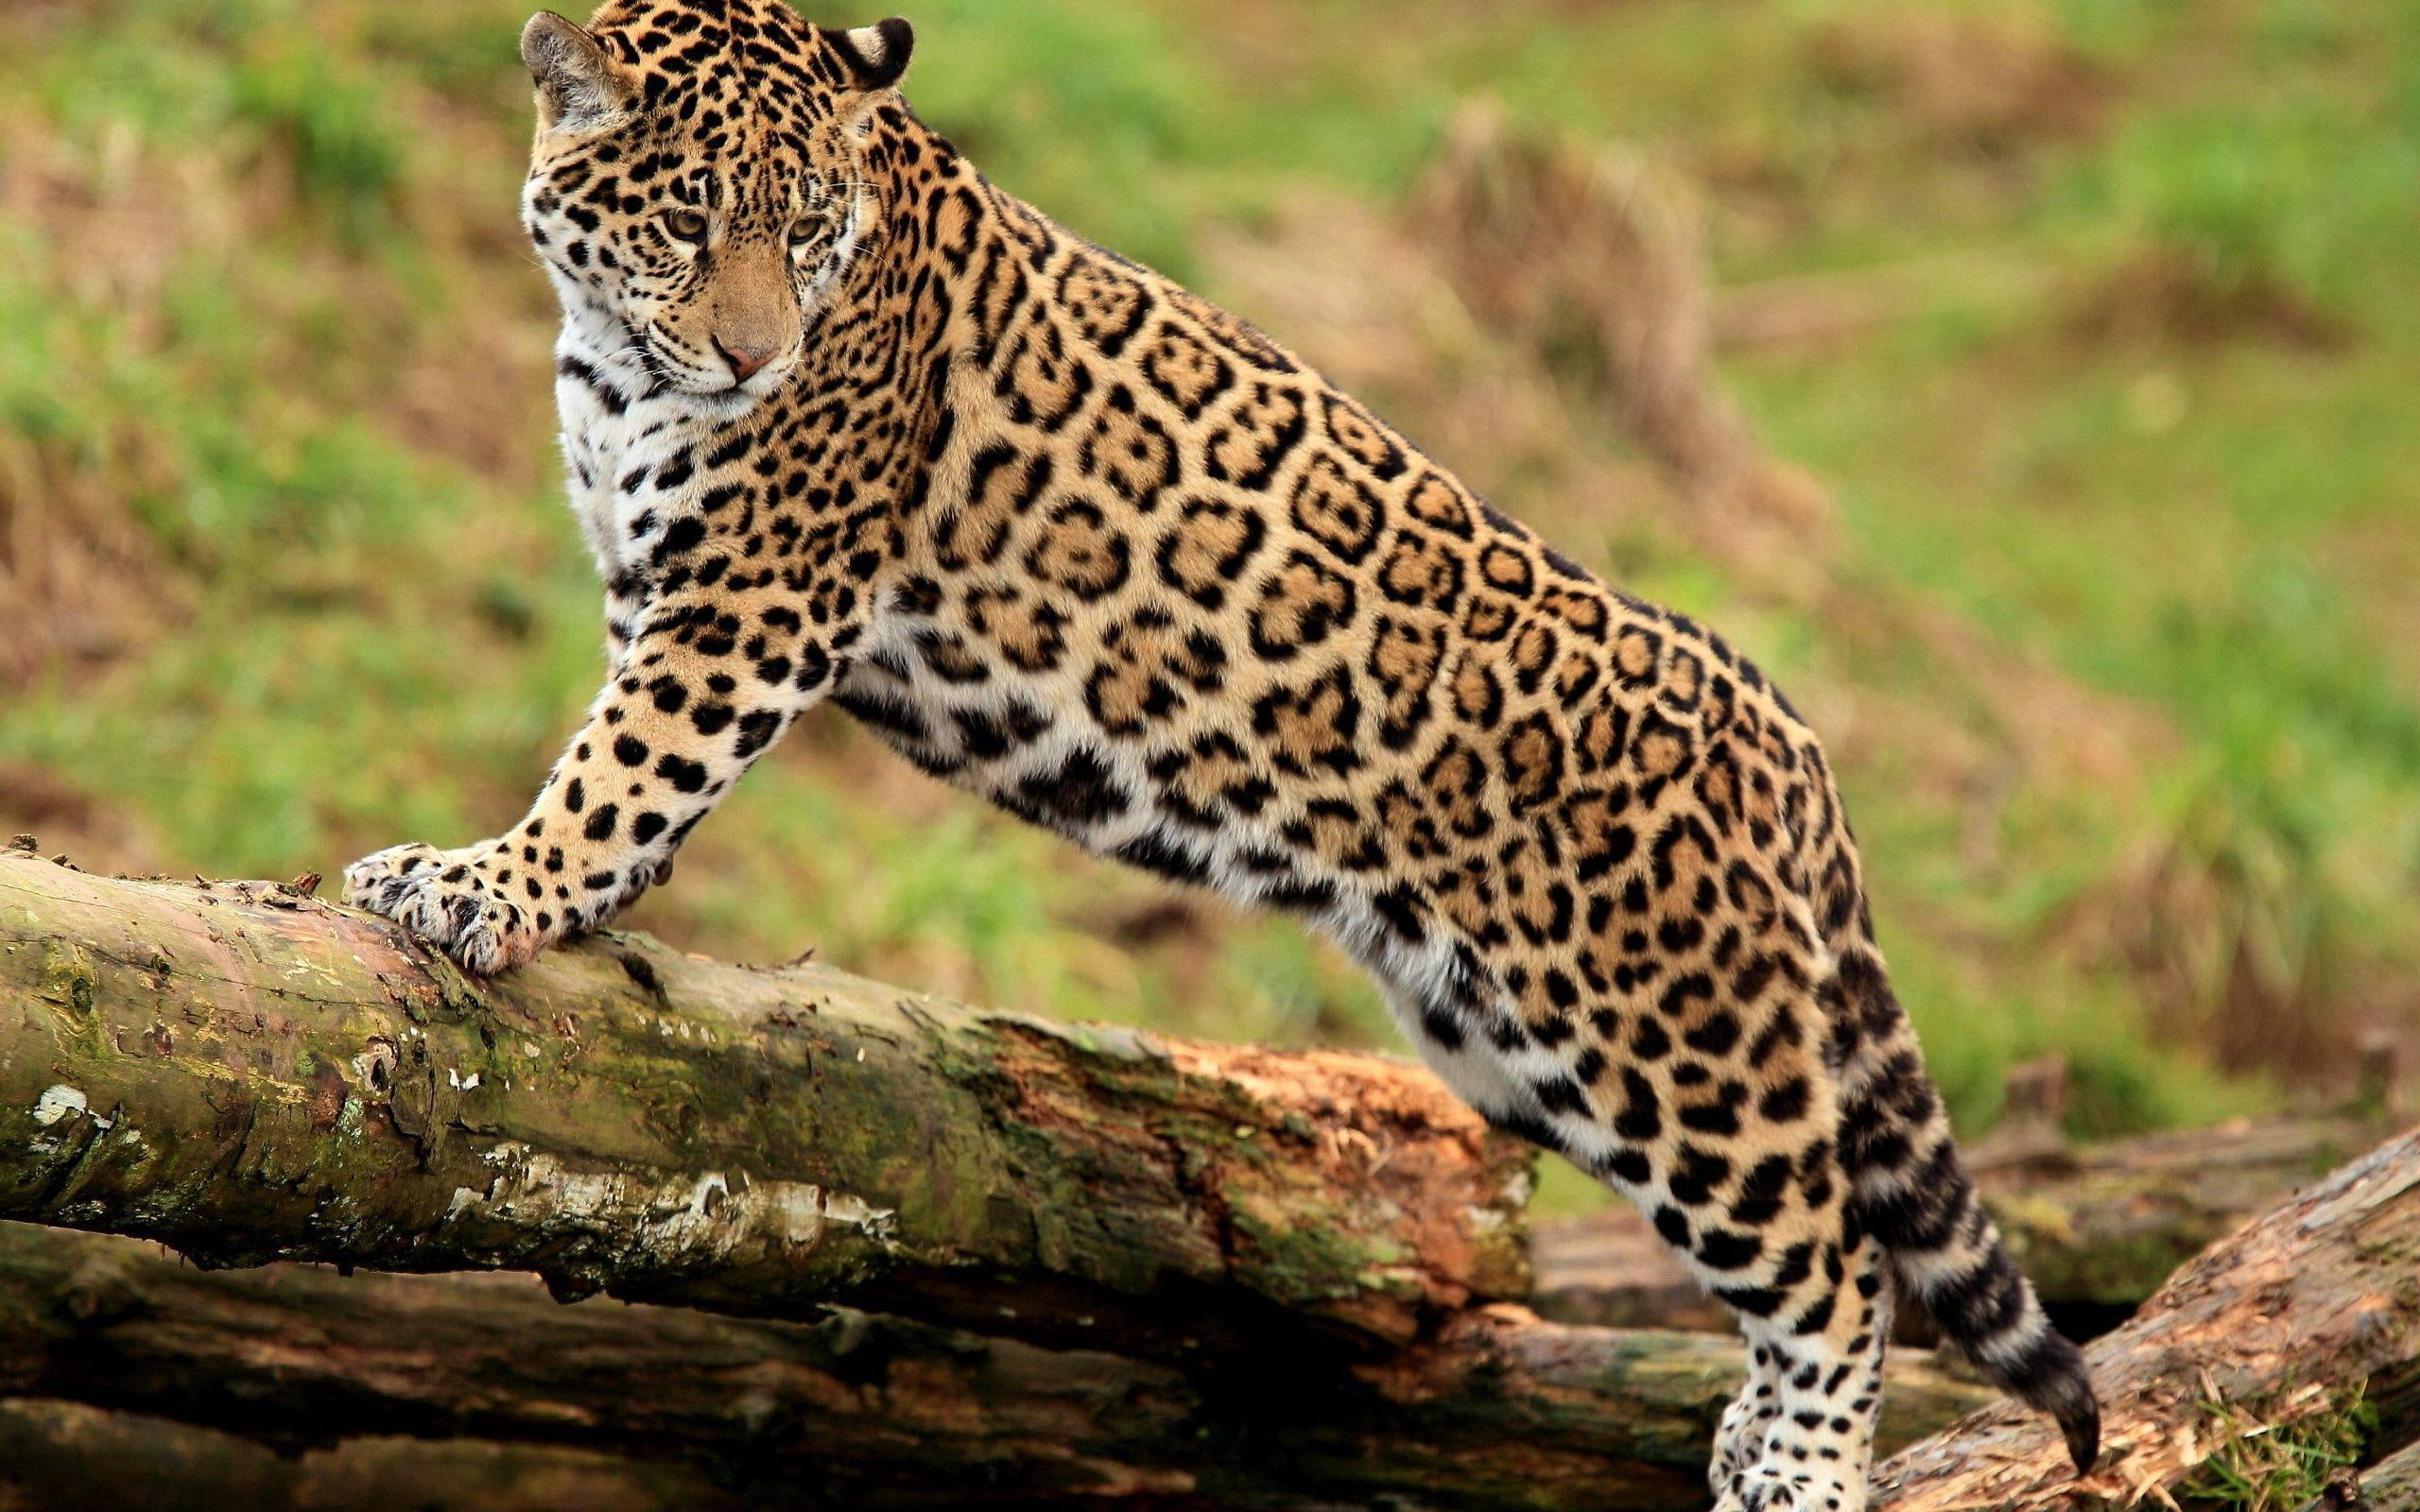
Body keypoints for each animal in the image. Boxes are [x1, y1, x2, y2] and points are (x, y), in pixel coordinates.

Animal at [341, 5, 2101, 1506]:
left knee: (1837, 1262)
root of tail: (1782, 731)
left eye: (810, 230)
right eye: (690, 222)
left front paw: (487, 883)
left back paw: (1796, 1466)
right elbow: (636, 779)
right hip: (1506, 1043)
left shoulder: (754, 597)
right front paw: (584, 905)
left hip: (1674, 1043)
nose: (755, 361)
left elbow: (622, 765)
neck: (611, 357)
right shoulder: (661, 589)